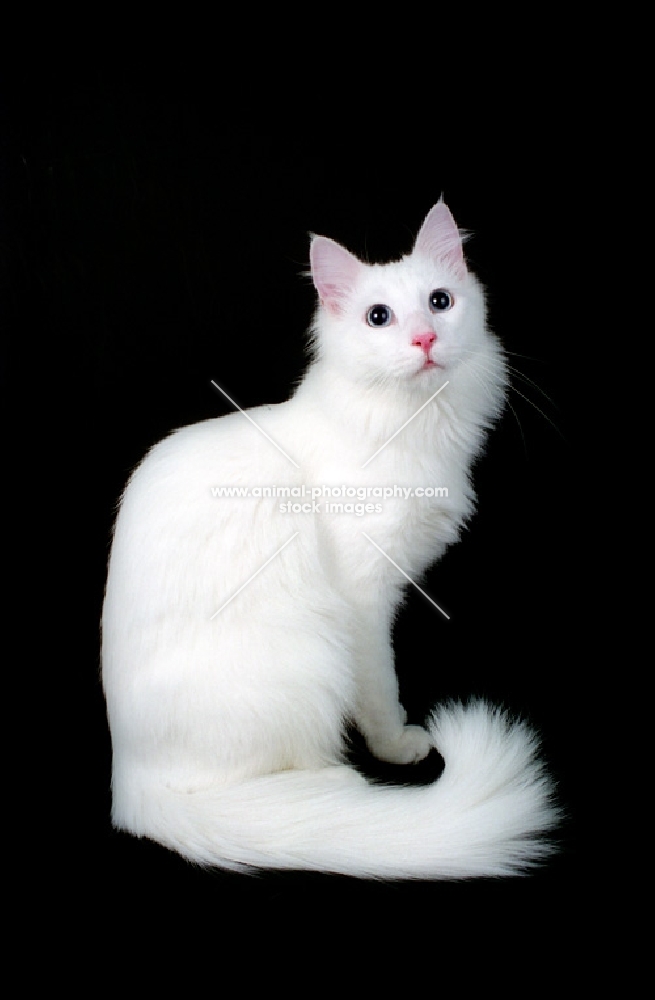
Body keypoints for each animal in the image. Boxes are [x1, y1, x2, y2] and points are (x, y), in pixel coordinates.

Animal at [101, 201, 560, 876]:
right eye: (379, 317)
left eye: (440, 302)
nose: (424, 339)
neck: (413, 428)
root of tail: (128, 785)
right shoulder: (363, 599)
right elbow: (381, 688)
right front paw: (396, 746)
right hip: (309, 659)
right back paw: (335, 789)